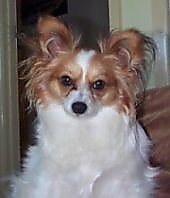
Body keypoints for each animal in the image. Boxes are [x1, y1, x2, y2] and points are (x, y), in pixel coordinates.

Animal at [10, 15, 157, 198]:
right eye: (66, 80)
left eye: (99, 84)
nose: (78, 107)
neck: (83, 127)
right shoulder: (51, 182)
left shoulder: (121, 184)